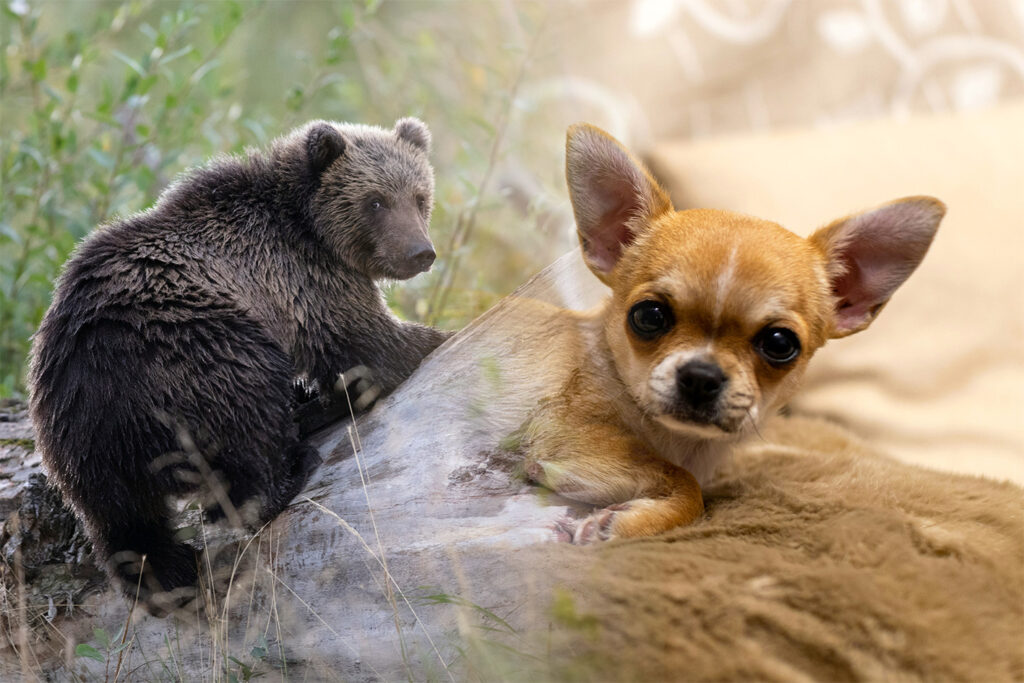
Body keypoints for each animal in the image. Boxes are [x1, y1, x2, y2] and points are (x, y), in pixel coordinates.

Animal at [28, 118, 450, 611]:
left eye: (419, 196)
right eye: (376, 201)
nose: (420, 252)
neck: (308, 224)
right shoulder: (301, 277)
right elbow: (368, 349)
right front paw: (432, 336)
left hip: (75, 436)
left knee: (124, 520)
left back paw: (166, 572)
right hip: (196, 347)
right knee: (247, 417)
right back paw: (291, 465)